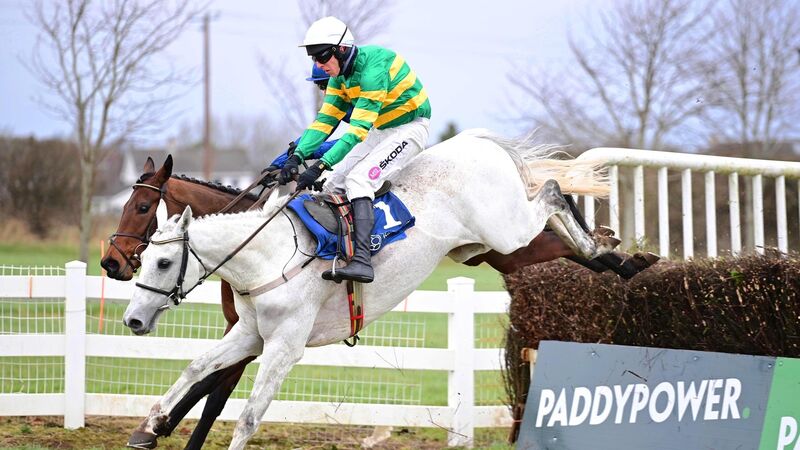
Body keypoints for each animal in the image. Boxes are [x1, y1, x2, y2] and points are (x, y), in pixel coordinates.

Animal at [103, 141, 657, 450]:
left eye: (143, 208)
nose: (112, 265)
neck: (265, 252)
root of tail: (481, 145)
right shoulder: (249, 333)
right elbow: (198, 370)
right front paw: (150, 423)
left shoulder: (282, 346)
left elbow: (239, 410)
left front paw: (161, 429)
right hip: (499, 247)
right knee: (562, 234)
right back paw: (622, 257)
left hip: (508, 231)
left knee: (553, 193)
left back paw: (610, 247)